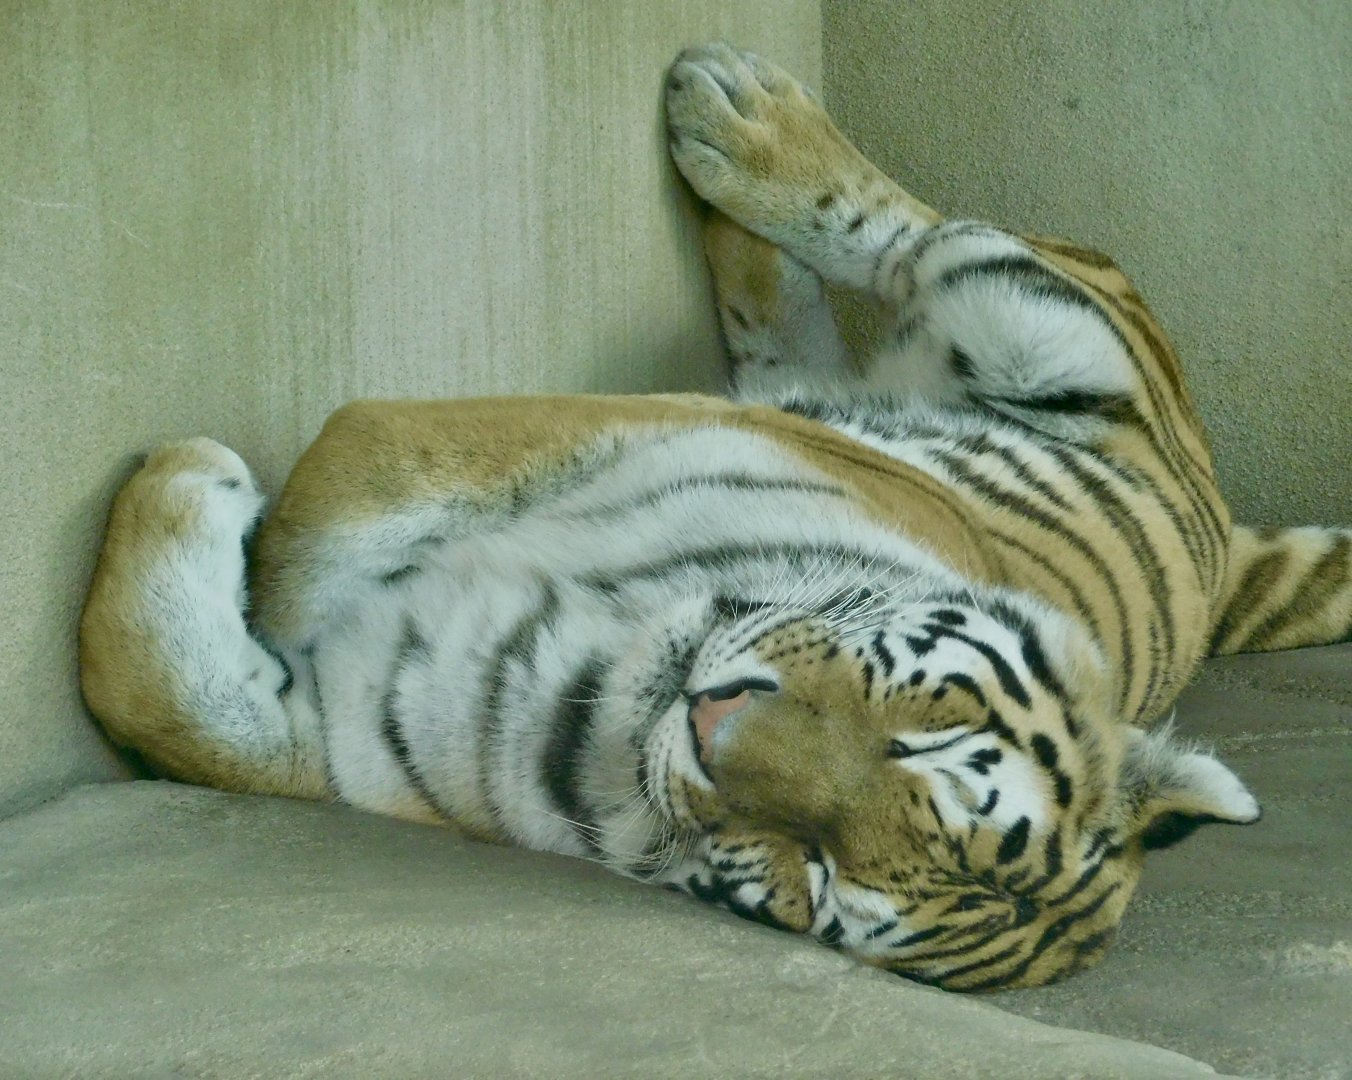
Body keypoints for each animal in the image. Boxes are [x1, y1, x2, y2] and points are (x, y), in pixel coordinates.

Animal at [78, 43, 1351, 991]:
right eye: (924, 734)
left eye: (816, 878)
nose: (705, 720)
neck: (597, 689)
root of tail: (1217, 524)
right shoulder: (609, 429)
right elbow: (345, 480)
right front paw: (213, 488)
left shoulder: (343, 730)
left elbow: (176, 705)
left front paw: (188, 480)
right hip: (1035, 312)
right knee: (901, 230)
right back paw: (735, 110)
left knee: (810, 314)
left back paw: (726, 154)